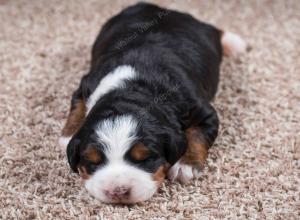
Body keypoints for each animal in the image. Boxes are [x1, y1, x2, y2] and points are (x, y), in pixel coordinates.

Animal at [59, 2, 246, 205]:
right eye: (93, 161)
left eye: (145, 158)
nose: (117, 191)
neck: (133, 87)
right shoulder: (87, 84)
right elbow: (77, 105)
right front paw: (68, 134)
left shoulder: (202, 111)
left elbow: (198, 134)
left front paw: (185, 165)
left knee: (215, 30)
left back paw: (235, 43)